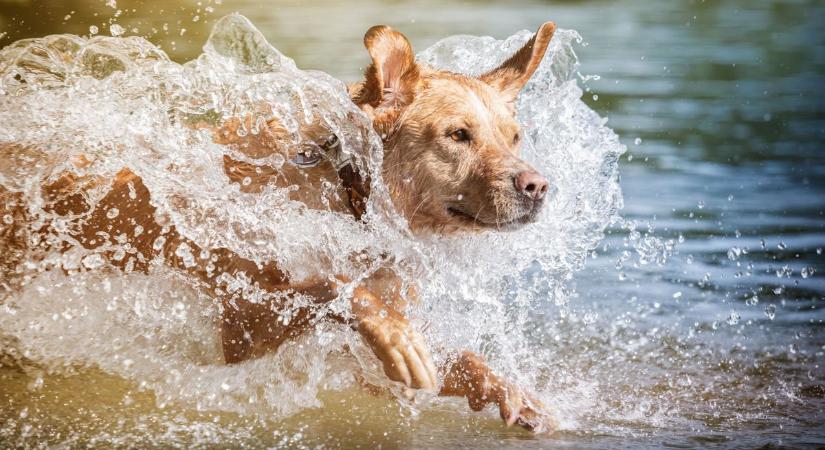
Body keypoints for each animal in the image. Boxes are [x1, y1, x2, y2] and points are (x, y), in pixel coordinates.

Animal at [0, 21, 556, 432]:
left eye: (514, 136)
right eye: (458, 135)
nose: (537, 186)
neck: (346, 188)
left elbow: (454, 359)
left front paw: (506, 390)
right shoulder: (243, 322)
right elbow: (330, 286)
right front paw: (397, 337)